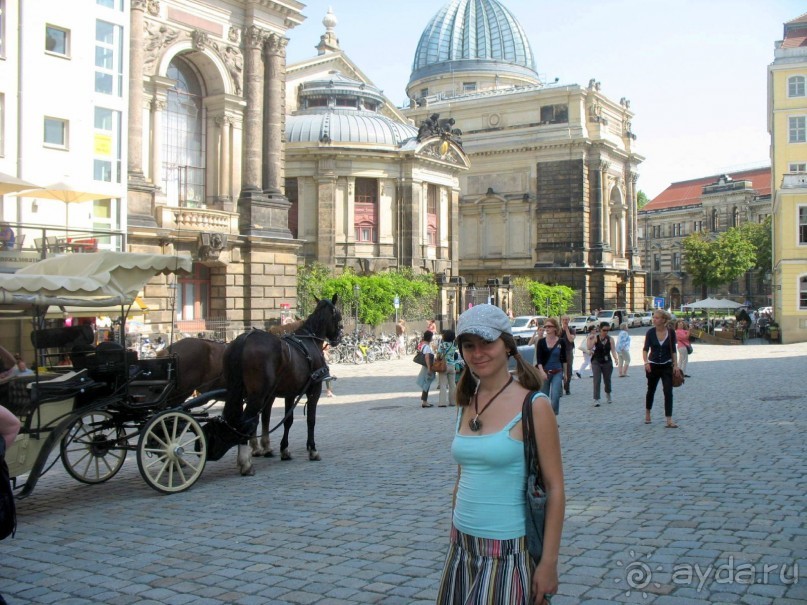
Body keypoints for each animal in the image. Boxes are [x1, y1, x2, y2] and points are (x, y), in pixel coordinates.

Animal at [223, 294, 342, 474]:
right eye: (338, 315)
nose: (339, 337)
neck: (309, 341)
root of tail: (244, 339)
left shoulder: (290, 393)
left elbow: (288, 420)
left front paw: (284, 449)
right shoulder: (314, 390)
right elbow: (311, 420)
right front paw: (312, 450)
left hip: (238, 393)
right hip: (257, 396)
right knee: (246, 422)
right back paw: (246, 463)